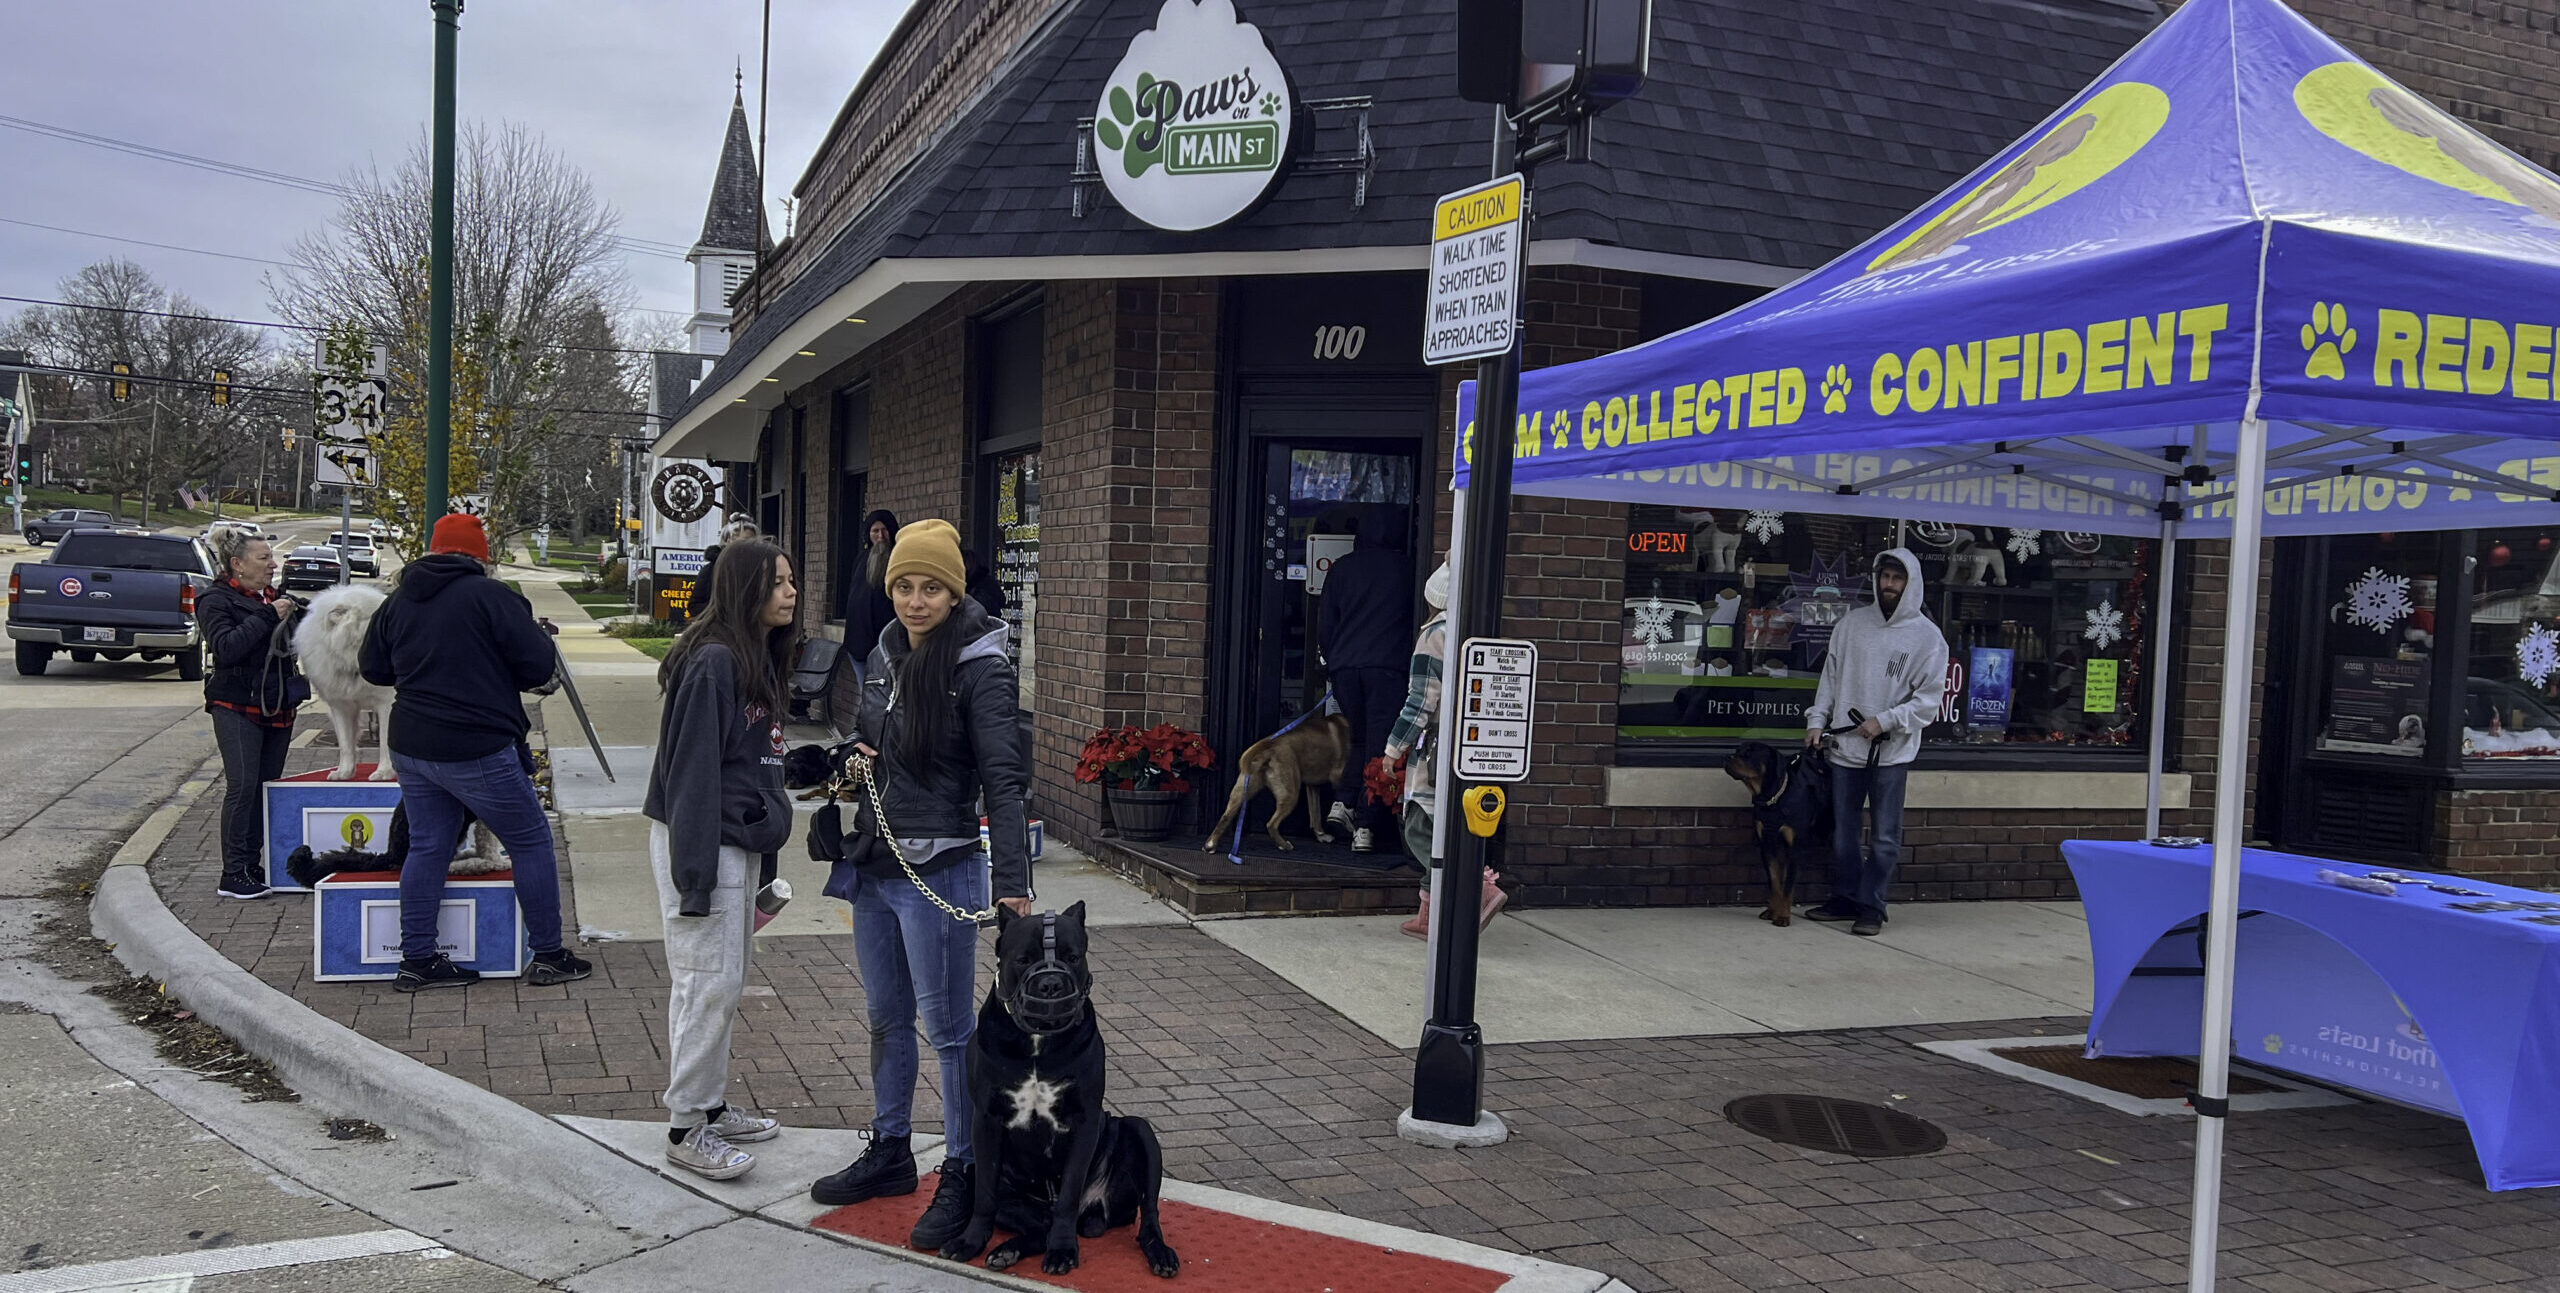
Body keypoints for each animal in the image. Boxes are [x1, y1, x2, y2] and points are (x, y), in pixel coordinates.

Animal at [293, 583, 396, 778]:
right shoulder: (341, 706)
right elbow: (345, 744)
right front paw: (344, 773)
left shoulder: (387, 703)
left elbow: (386, 741)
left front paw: (384, 772)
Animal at [942, 901, 1177, 1275]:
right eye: (1022, 959)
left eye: (1073, 957)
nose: (1051, 983)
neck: (1039, 1041)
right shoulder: (986, 1119)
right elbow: (984, 1196)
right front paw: (970, 1241)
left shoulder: (1084, 1121)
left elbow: (1068, 1194)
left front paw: (1063, 1251)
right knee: (1036, 1224)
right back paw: (1006, 1250)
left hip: (1140, 1132)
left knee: (1148, 1215)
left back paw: (1160, 1254)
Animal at [1203, 711, 1361, 850]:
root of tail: (1268, 746)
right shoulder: (1340, 777)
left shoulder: (1313, 786)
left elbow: (1315, 813)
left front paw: (1322, 836)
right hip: (1290, 793)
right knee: (1271, 824)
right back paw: (1284, 845)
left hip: (1242, 790)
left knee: (1225, 816)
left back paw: (1210, 845)